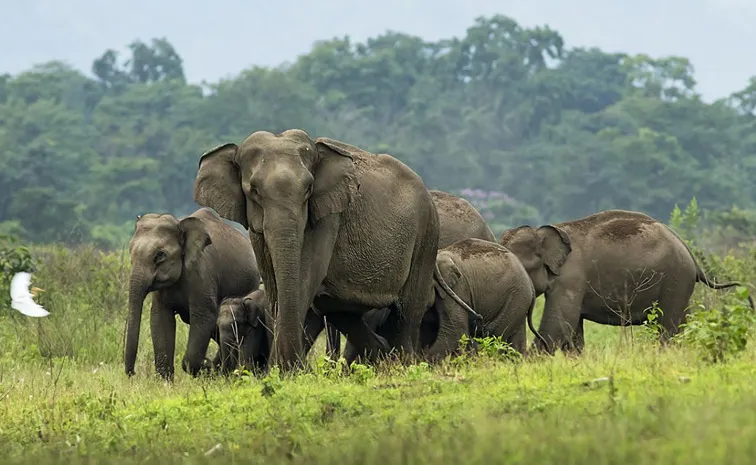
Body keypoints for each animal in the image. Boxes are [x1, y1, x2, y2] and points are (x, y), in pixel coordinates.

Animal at [126, 208, 260, 378]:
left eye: (160, 255)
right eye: (130, 251)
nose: (132, 373)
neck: (180, 224)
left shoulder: (202, 273)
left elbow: (204, 317)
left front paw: (206, 365)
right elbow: (159, 318)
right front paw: (165, 381)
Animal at [192, 129, 476, 368]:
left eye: (308, 189)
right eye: (254, 191)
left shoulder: (328, 215)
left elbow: (305, 279)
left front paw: (288, 372)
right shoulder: (256, 229)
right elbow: (274, 286)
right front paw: (282, 372)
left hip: (426, 235)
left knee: (406, 311)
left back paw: (400, 365)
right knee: (341, 311)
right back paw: (382, 356)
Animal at [500, 208, 752, 354]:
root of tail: (690, 254)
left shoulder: (570, 279)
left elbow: (559, 324)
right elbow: (573, 329)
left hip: (676, 280)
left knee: (669, 326)